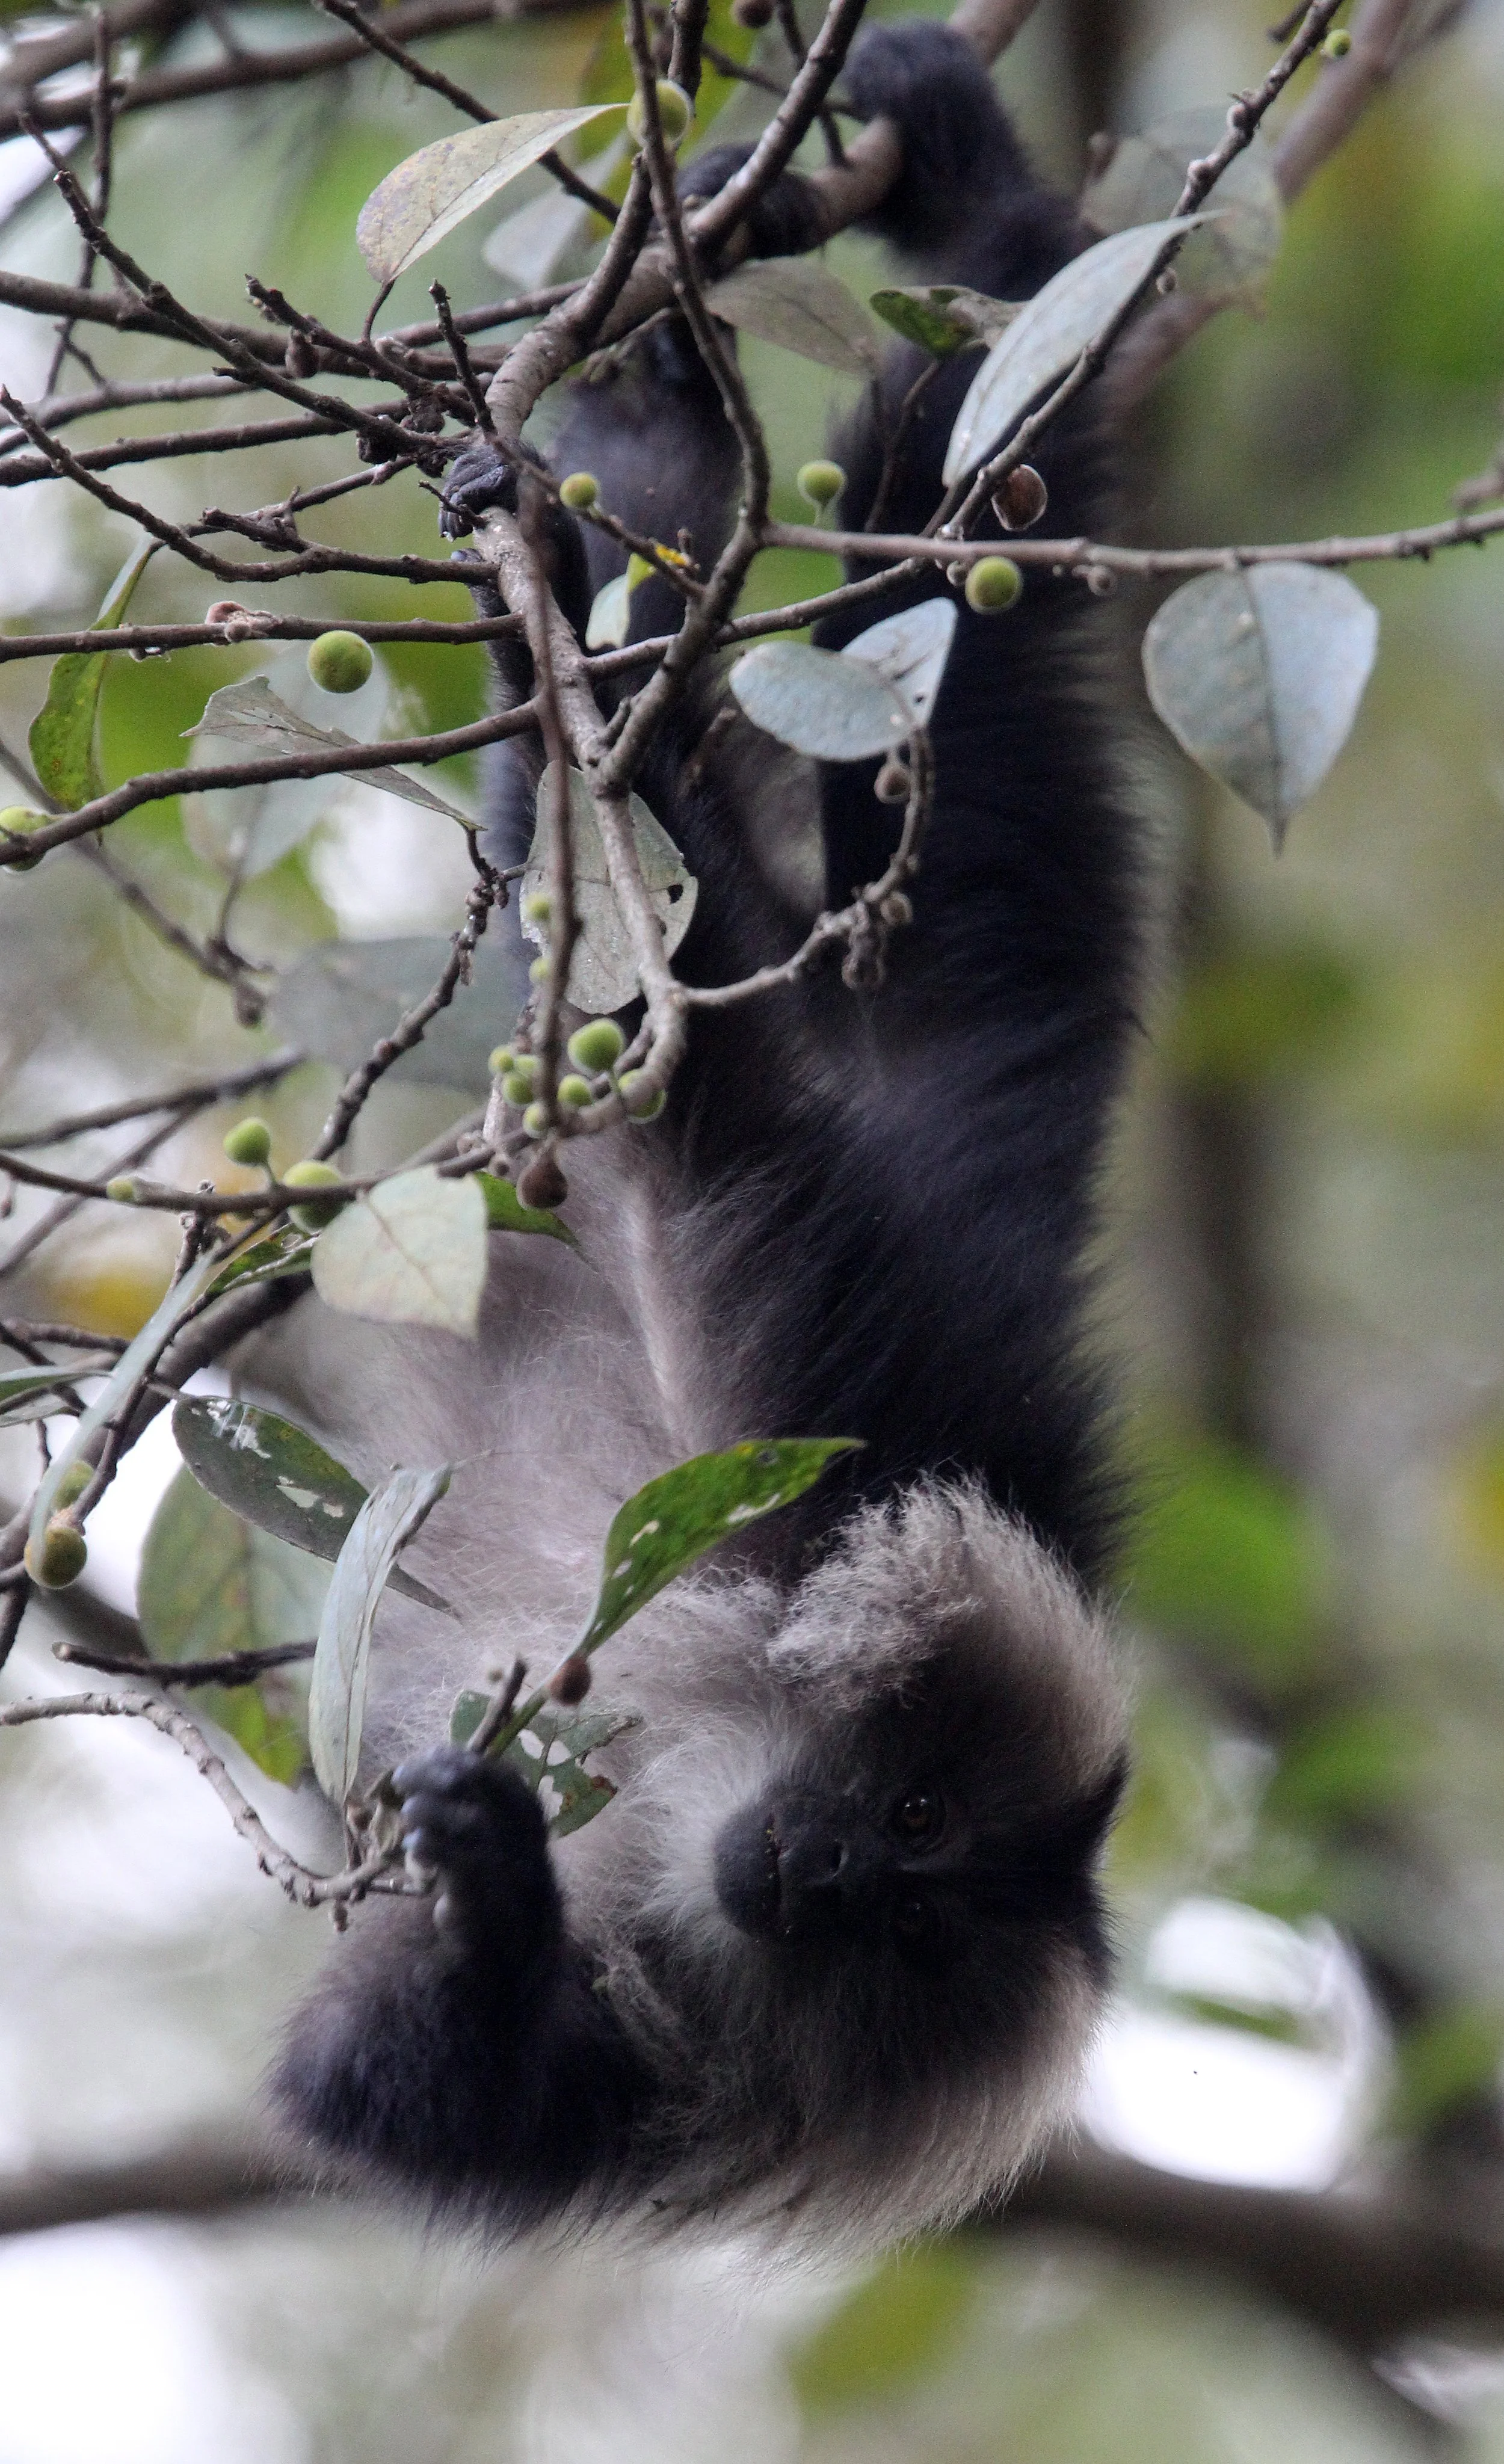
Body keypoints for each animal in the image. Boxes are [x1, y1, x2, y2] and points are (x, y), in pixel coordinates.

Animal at [265, 19, 1142, 2252]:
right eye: (906, 1809)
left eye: (907, 1921)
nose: (812, 1876)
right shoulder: (801, 1414)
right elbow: (666, 1073)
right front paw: (559, 639)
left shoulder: (646, 2045)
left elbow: (382, 2090)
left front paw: (494, 1922)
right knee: (956, 599)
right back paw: (949, 239)